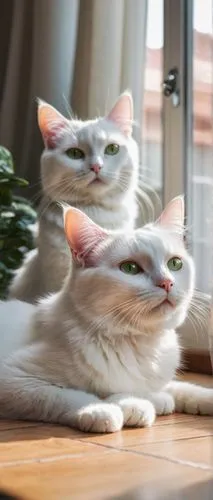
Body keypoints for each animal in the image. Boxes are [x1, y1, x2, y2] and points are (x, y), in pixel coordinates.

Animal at [1, 196, 213, 434]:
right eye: (130, 268)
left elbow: (181, 386)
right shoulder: (14, 378)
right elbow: (68, 395)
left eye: (175, 263)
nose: (167, 282)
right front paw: (103, 409)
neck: (138, 343)